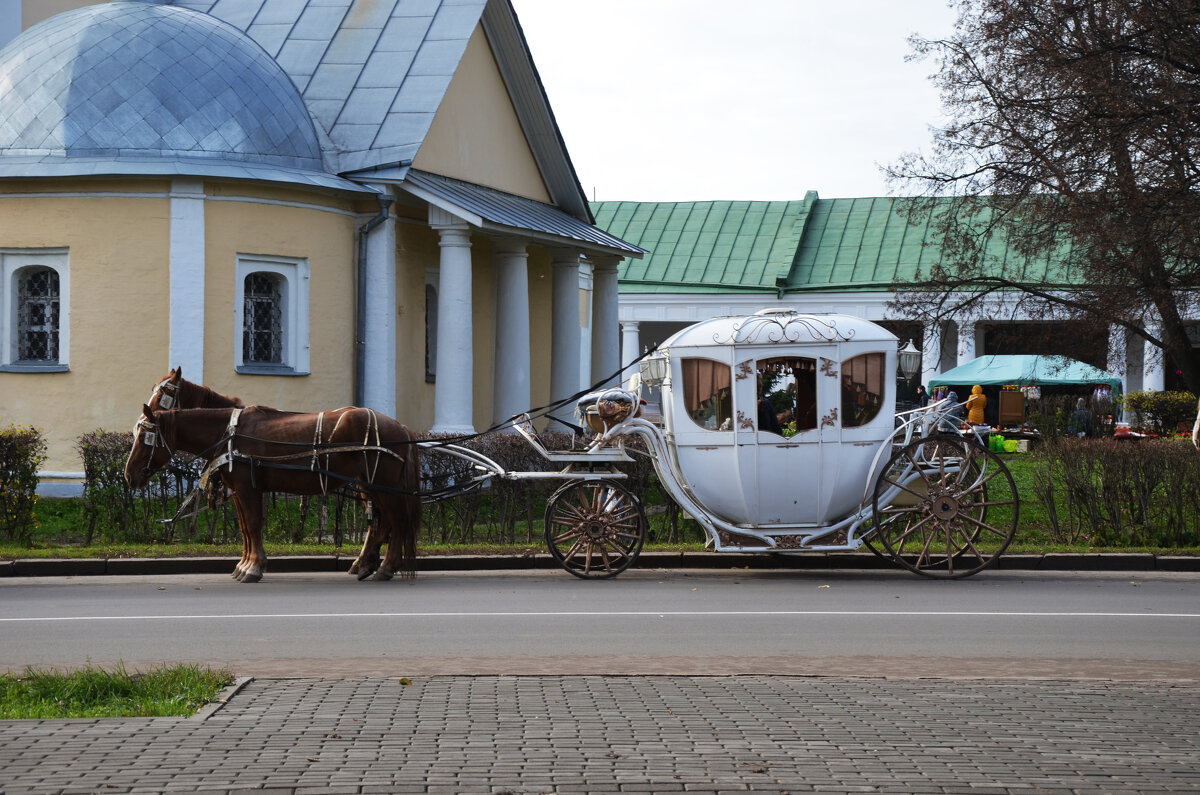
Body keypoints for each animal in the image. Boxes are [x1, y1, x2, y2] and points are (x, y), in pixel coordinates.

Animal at [124, 408, 420, 583]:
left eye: (145, 436)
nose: (129, 475)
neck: (231, 434)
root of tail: (401, 427)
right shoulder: (240, 490)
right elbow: (246, 527)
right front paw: (245, 565)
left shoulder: (247, 488)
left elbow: (253, 526)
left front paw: (252, 568)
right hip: (371, 486)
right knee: (383, 523)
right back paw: (367, 565)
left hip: (382, 486)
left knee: (397, 522)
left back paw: (385, 567)